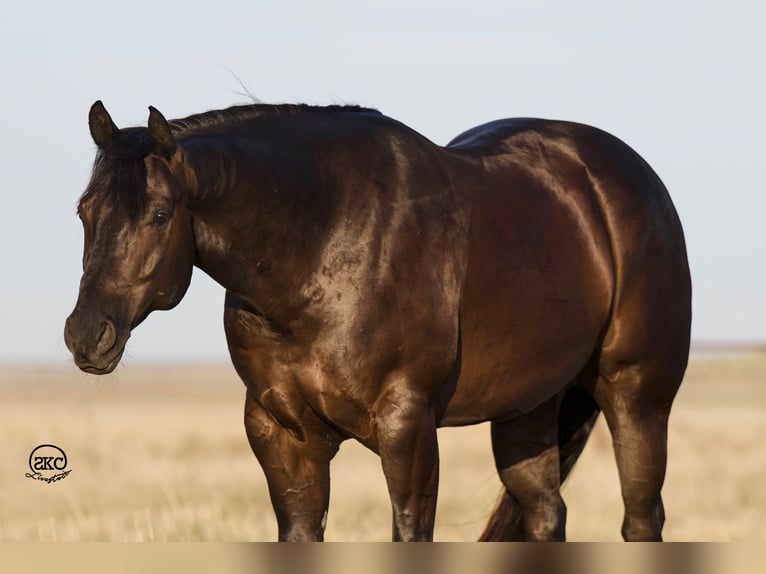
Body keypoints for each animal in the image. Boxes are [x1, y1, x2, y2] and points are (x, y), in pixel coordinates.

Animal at [63, 100, 692, 544]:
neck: (322, 245)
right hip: (527, 410)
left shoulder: (406, 425)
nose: (85, 336)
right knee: (545, 514)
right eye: (84, 210)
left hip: (637, 396)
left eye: (159, 214)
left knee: (642, 518)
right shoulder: (281, 434)